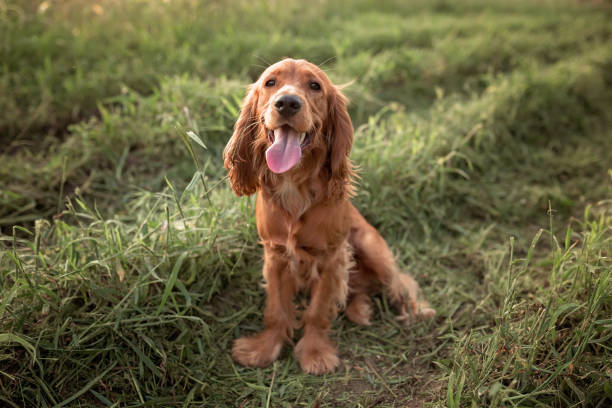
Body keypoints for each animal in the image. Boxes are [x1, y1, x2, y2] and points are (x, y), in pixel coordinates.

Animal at [222, 59, 432, 374]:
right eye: (270, 82)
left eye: (314, 86)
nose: (287, 103)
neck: (295, 186)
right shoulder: (275, 255)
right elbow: (276, 309)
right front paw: (264, 349)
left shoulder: (332, 258)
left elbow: (319, 311)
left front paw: (315, 354)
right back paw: (361, 307)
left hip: (372, 248)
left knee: (400, 281)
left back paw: (416, 309)